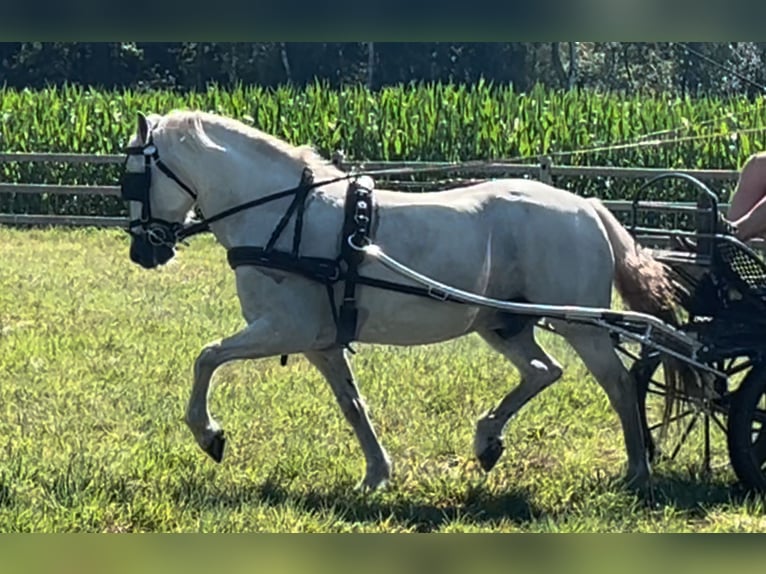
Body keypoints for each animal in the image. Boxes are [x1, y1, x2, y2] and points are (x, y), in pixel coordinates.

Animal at [121, 109, 681, 491]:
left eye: (132, 177)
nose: (142, 251)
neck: (282, 214)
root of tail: (587, 205)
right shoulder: (321, 342)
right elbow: (352, 405)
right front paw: (376, 474)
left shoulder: (284, 329)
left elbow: (207, 356)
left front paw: (209, 434)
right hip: (501, 323)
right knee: (545, 371)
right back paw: (488, 440)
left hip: (579, 324)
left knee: (619, 384)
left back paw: (637, 468)